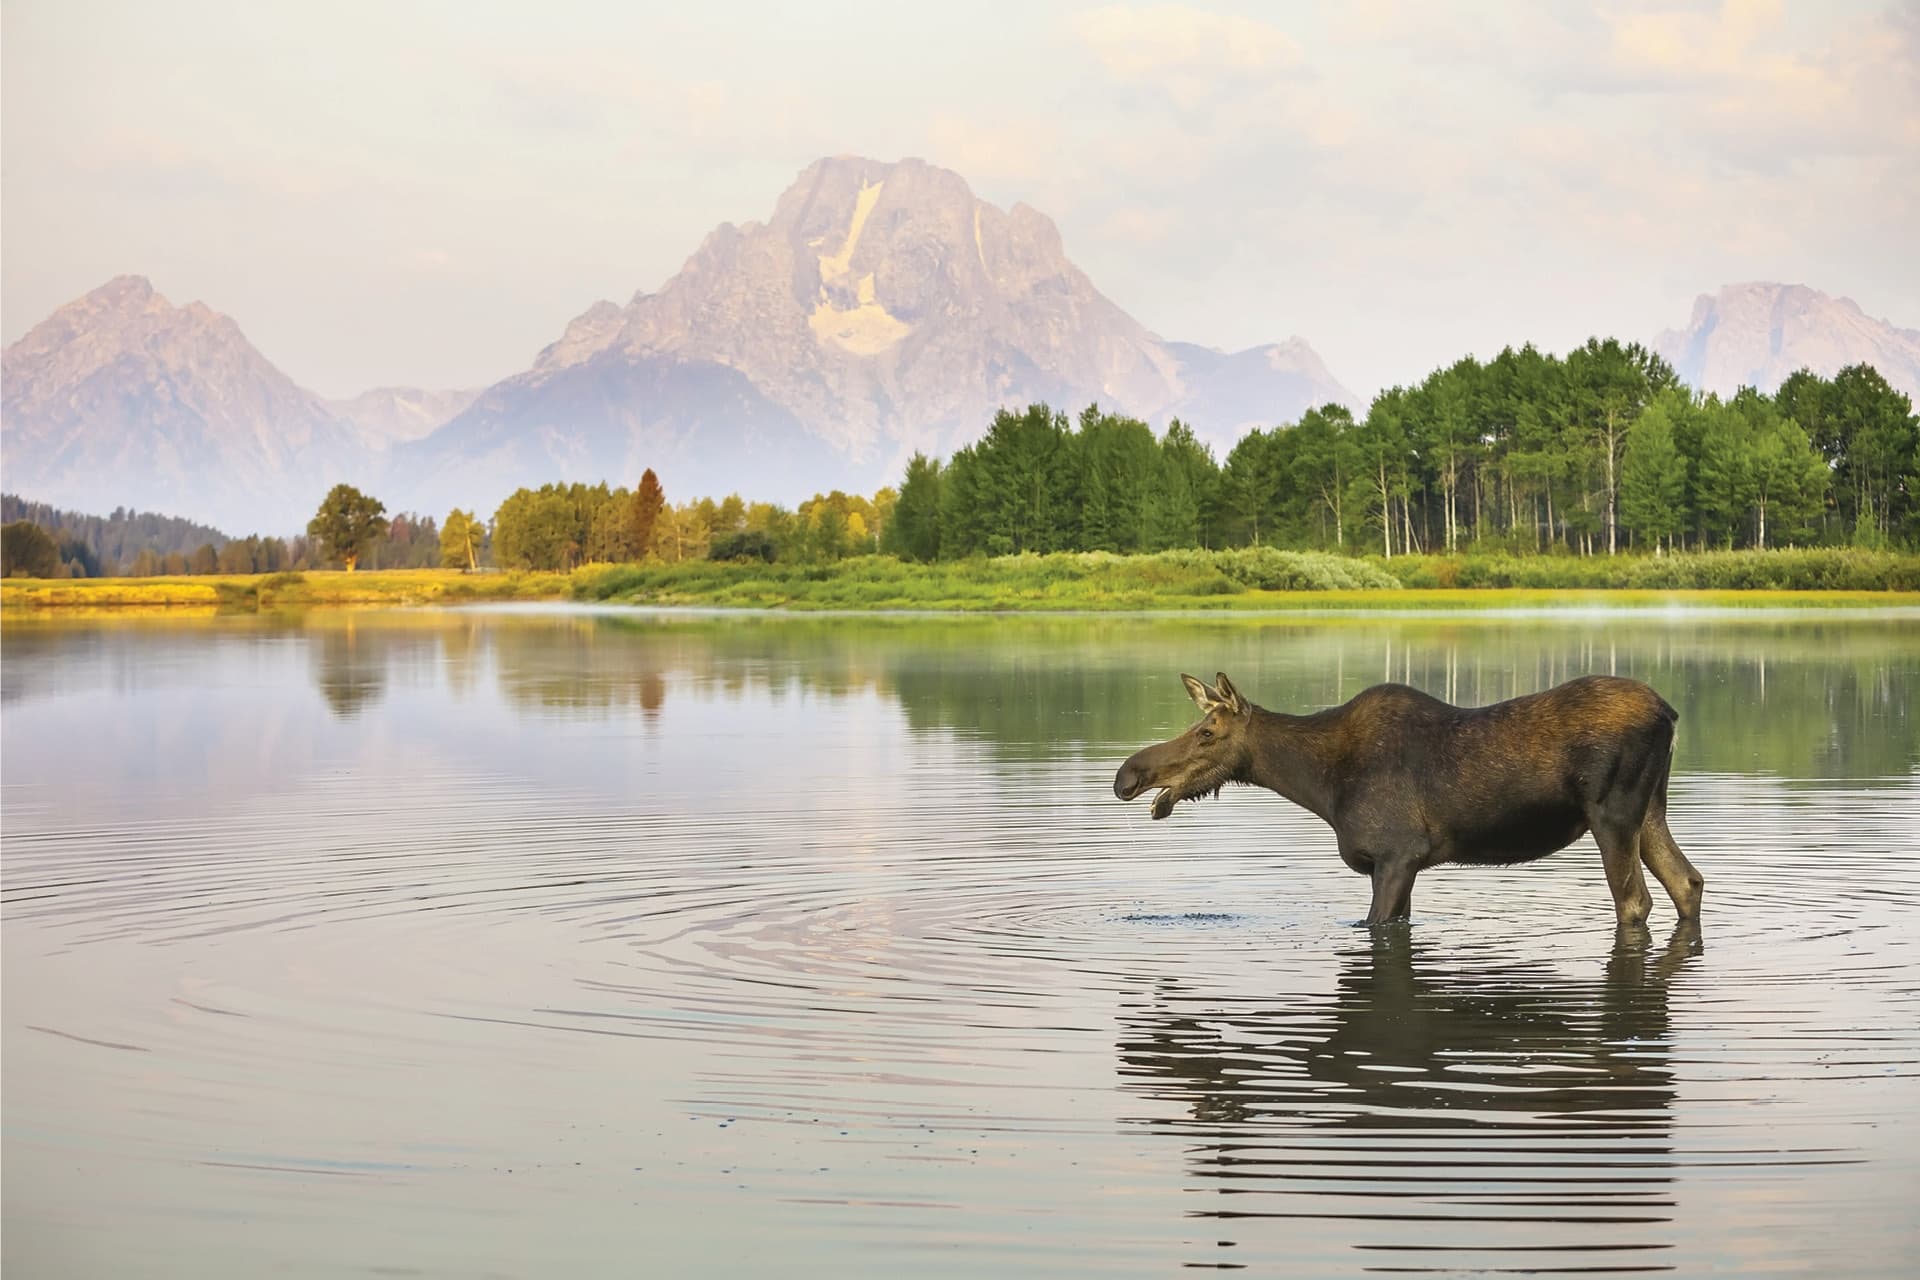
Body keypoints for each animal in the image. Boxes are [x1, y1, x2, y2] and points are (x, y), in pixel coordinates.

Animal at [1112, 672, 1705, 927]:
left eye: (1207, 733)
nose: (1127, 776)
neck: (1319, 786)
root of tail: (1672, 714)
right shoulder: (1403, 865)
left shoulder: (1397, 854)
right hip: (1651, 810)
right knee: (1687, 882)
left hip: (1612, 813)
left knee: (1635, 900)